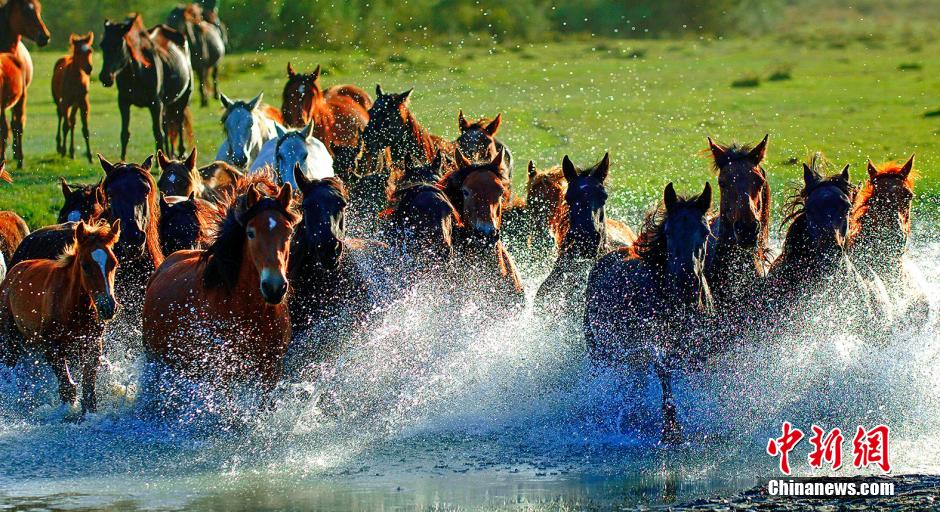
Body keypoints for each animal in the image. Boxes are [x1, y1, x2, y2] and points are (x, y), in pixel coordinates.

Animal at [0, 0, 50, 168]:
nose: (45, 36)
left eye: (39, 10)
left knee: (16, 124)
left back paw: (18, 157)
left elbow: (13, 126)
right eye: (25, 12)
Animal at [0, 219, 120, 414]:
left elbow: (88, 387)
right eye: (85, 265)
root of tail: (13, 273)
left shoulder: (93, 344)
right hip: (10, 340)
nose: (108, 306)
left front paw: (89, 413)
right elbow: (67, 387)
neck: (72, 308)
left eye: (114, 263)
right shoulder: (52, 347)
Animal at [51, 32, 94, 162]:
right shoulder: (65, 102)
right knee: (61, 116)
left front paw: (90, 155)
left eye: (90, 51)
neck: (75, 80)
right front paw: (63, 151)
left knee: (73, 121)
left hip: (75, 104)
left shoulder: (83, 102)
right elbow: (65, 126)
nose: (89, 68)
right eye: (78, 52)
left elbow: (85, 129)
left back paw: (72, 151)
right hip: (58, 100)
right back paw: (60, 147)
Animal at [99, 15, 193, 160]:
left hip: (183, 98)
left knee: (178, 123)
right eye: (102, 45)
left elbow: (158, 134)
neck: (138, 73)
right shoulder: (123, 102)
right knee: (167, 127)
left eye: (119, 45)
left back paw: (181, 152)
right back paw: (168, 155)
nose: (105, 77)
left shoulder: (156, 104)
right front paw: (122, 161)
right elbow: (124, 134)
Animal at [584, 182, 713, 444]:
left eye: (705, 232)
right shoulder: (654, 345)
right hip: (600, 351)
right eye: (669, 233)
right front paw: (672, 432)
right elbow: (665, 376)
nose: (687, 285)